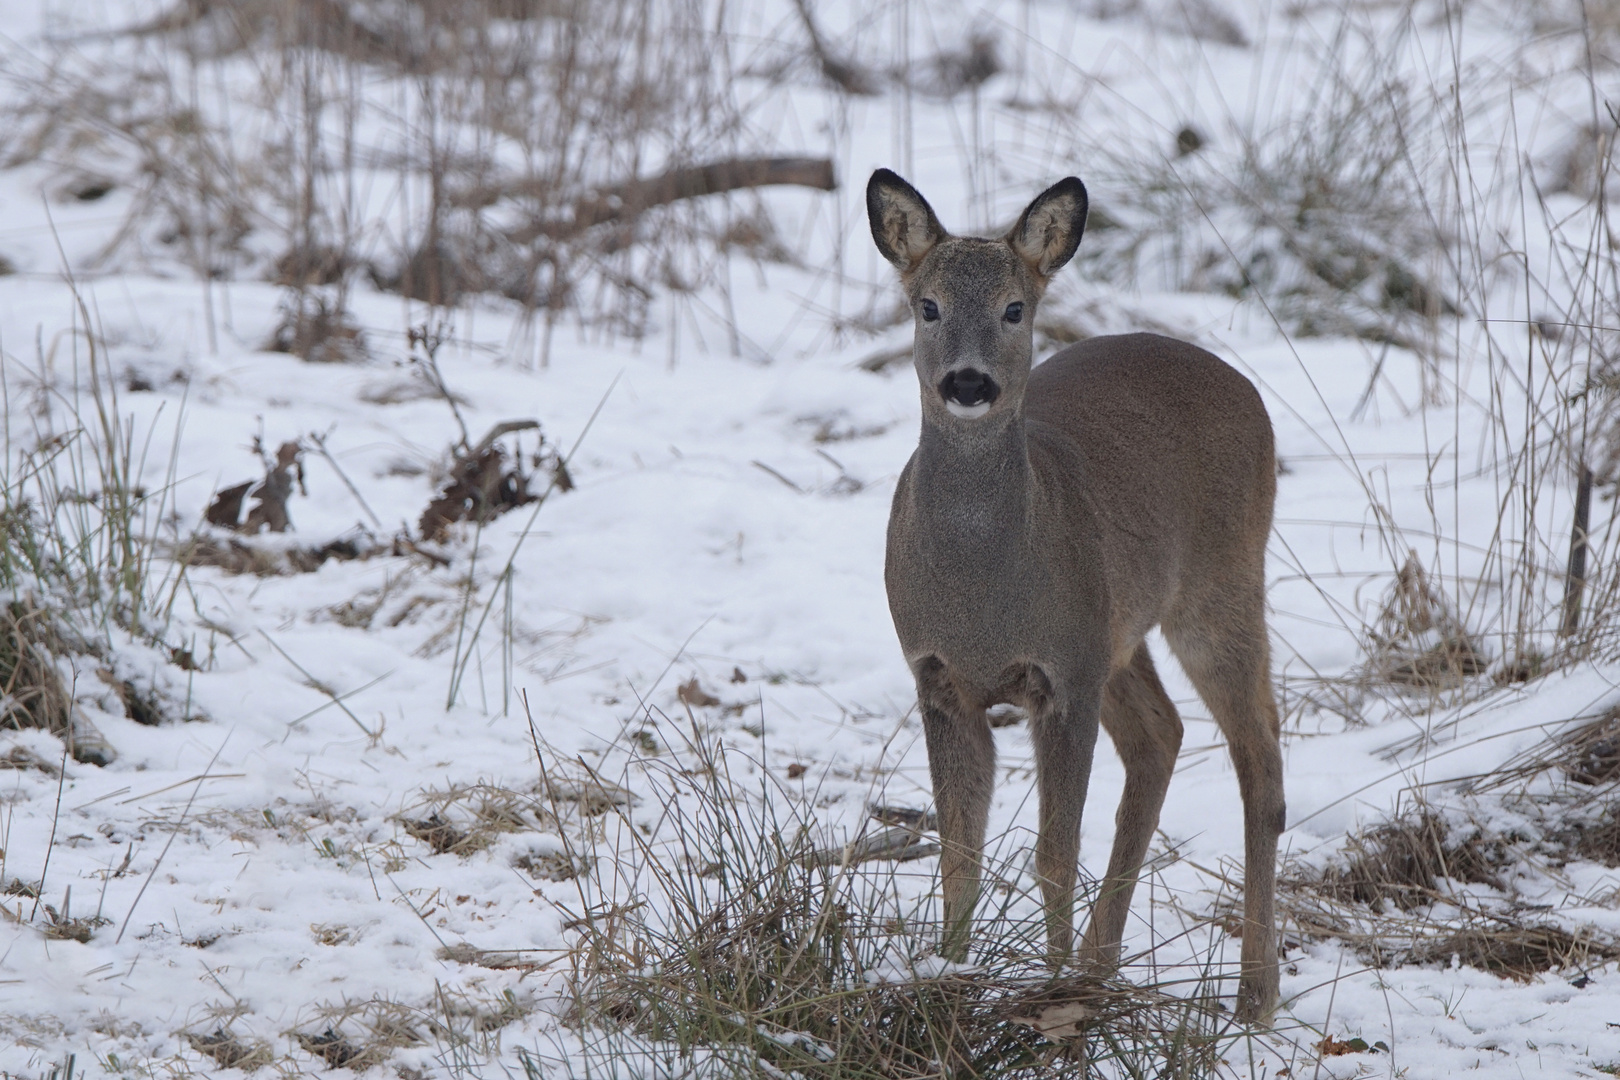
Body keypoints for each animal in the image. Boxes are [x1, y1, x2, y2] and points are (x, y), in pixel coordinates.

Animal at [868, 169, 1283, 1023]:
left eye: (1014, 308)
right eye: (927, 306)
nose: (967, 382)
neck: (983, 595)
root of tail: (1244, 387)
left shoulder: (1064, 674)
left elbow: (1053, 855)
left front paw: (1045, 988)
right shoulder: (941, 677)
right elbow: (960, 854)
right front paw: (951, 976)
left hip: (1220, 581)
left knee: (1258, 748)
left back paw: (1252, 994)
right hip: (1119, 629)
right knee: (1162, 736)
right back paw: (1101, 966)